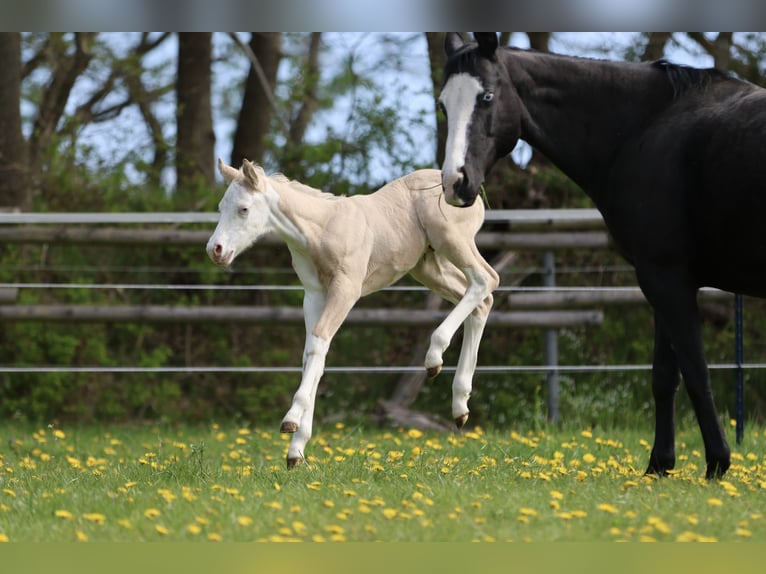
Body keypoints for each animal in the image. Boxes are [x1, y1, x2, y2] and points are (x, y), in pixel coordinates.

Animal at [207, 159, 499, 469]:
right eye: (221, 207)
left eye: (244, 209)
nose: (215, 250)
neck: (320, 230)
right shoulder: (314, 295)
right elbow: (313, 355)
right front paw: (296, 450)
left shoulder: (346, 289)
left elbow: (318, 344)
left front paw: (291, 420)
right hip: (429, 266)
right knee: (482, 300)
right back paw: (460, 405)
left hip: (452, 241)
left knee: (486, 279)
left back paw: (435, 356)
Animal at [438, 32, 766, 480]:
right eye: (443, 104)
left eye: (486, 96)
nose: (455, 183)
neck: (644, 128)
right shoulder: (667, 282)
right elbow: (665, 377)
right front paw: (659, 466)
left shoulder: (666, 280)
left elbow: (695, 372)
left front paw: (717, 463)